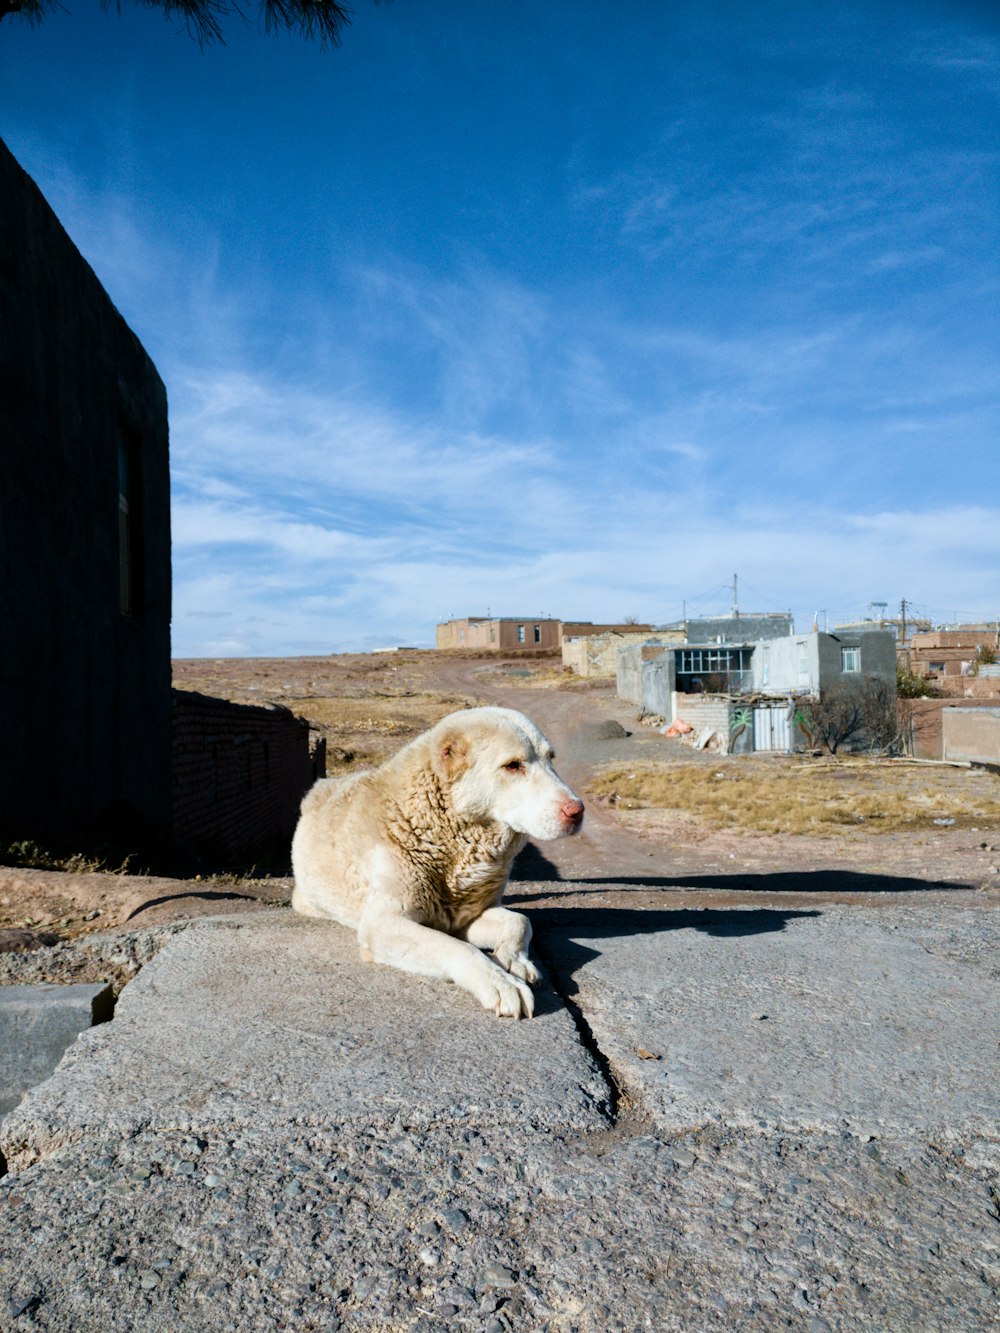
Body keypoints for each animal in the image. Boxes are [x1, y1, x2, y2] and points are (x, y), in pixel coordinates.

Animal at [289, 709, 584, 1018]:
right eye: (513, 765)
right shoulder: (382, 925)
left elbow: (520, 921)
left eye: (551, 758)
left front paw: (514, 961)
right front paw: (501, 982)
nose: (577, 811)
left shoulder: (466, 917)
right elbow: (456, 947)